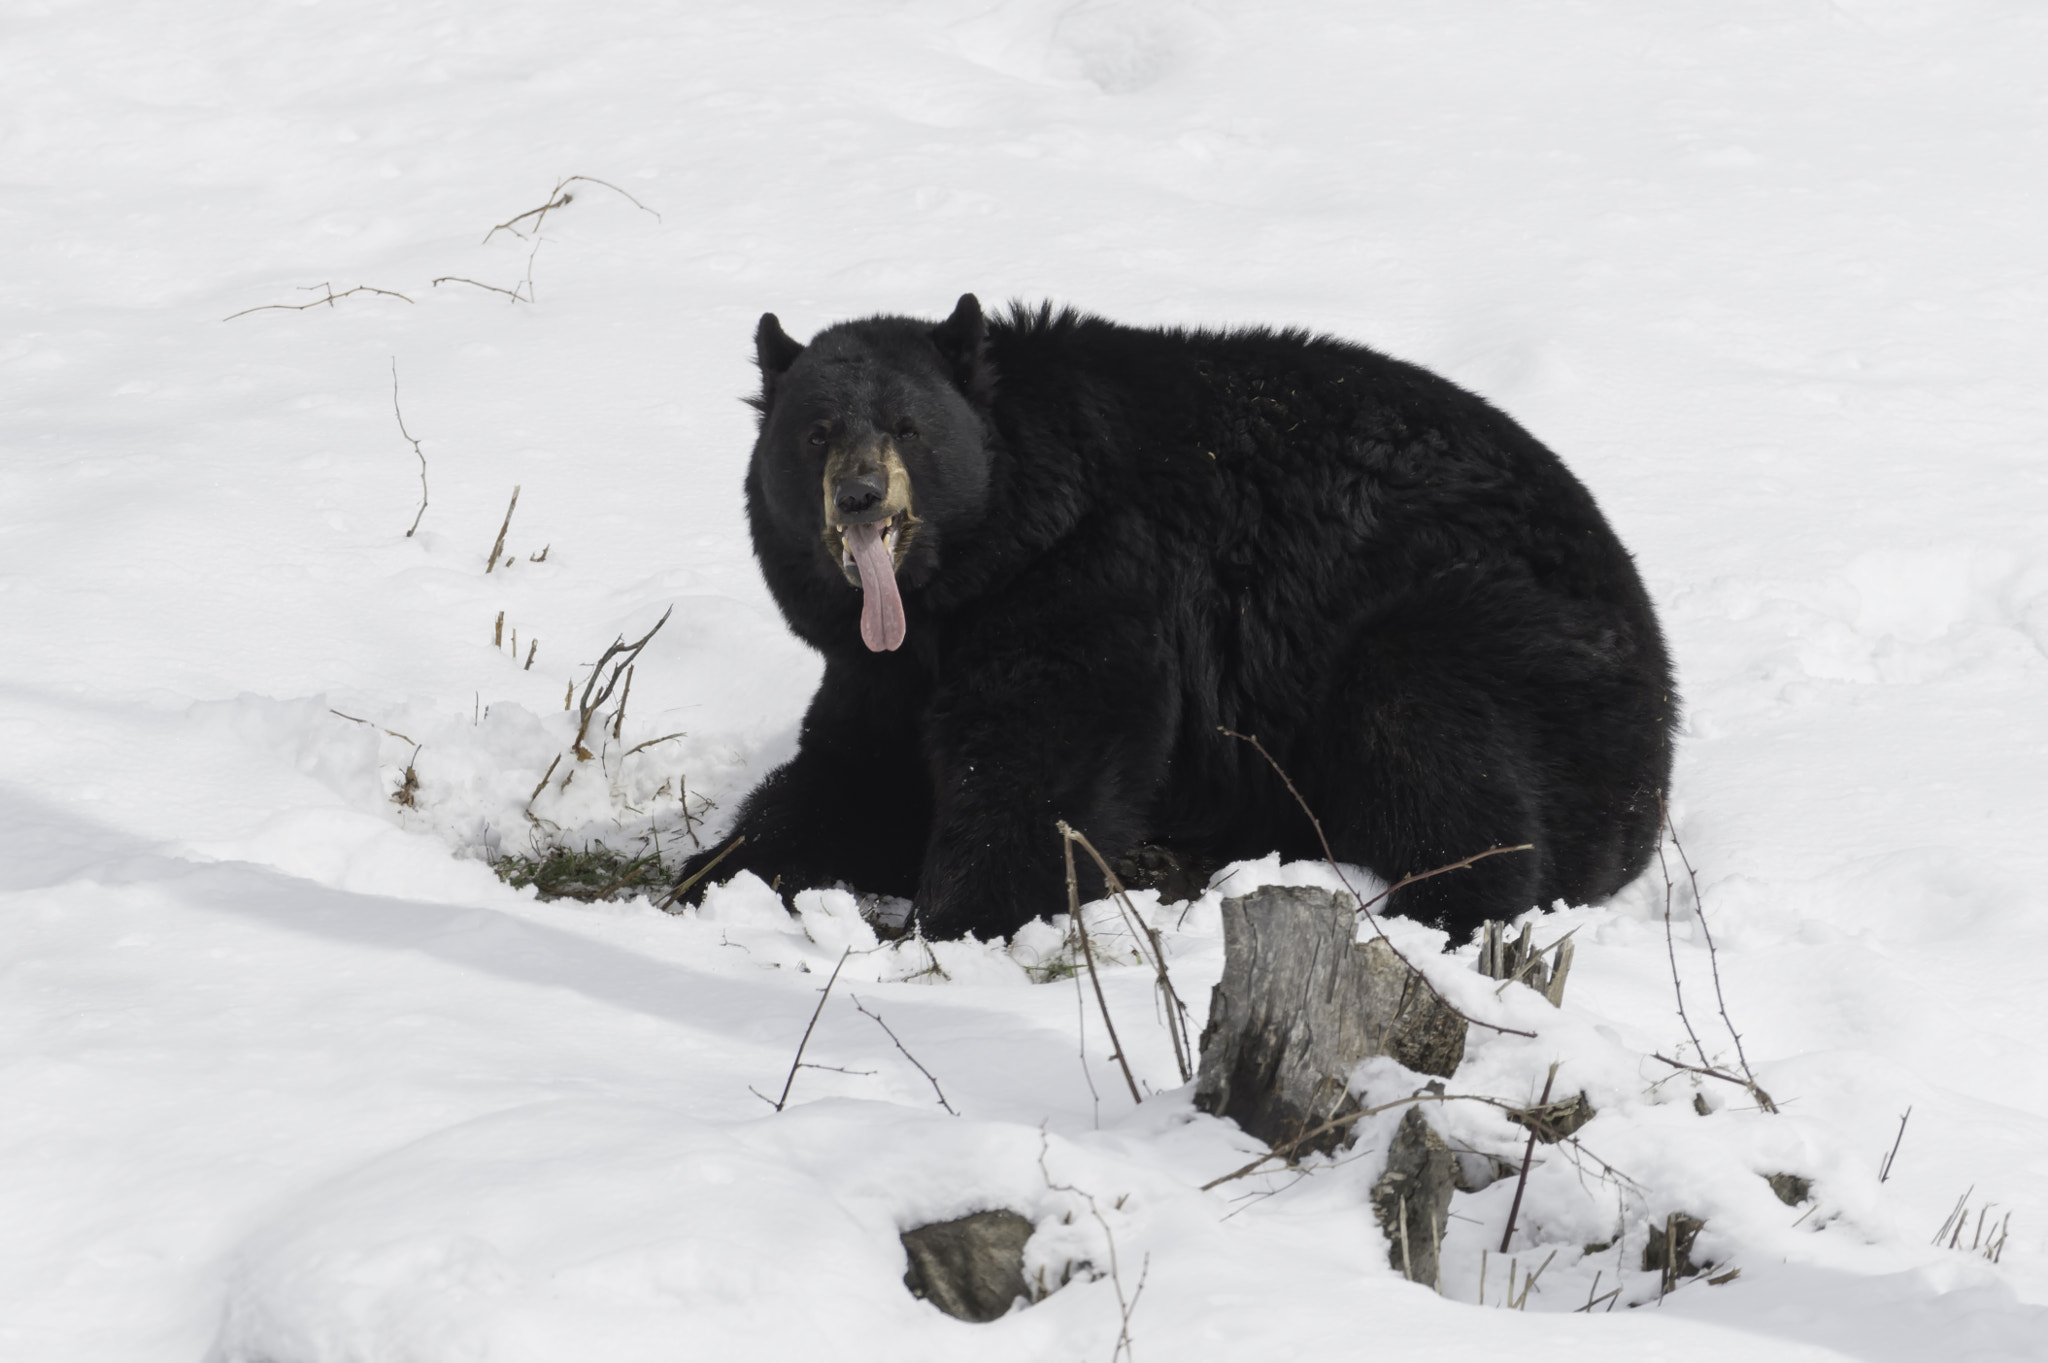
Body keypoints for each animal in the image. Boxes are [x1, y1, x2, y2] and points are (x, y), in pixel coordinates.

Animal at [679, 292, 1671, 941]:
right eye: (814, 431)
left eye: (907, 426)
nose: (857, 494)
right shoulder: (884, 666)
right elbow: (853, 774)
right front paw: (704, 876)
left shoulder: (1093, 575)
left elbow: (1047, 757)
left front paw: (951, 918)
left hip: (1510, 641)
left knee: (1432, 738)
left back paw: (1435, 906)